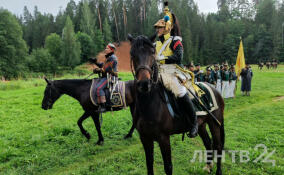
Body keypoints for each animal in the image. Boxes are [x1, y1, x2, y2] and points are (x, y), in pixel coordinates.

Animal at [127, 34, 225, 174]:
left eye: (152, 53)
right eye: (132, 53)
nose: (144, 83)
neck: (149, 104)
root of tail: (214, 89)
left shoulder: (163, 138)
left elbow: (168, 166)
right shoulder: (145, 138)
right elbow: (149, 164)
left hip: (215, 123)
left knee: (218, 146)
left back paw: (218, 171)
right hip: (201, 125)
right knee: (208, 142)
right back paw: (208, 166)